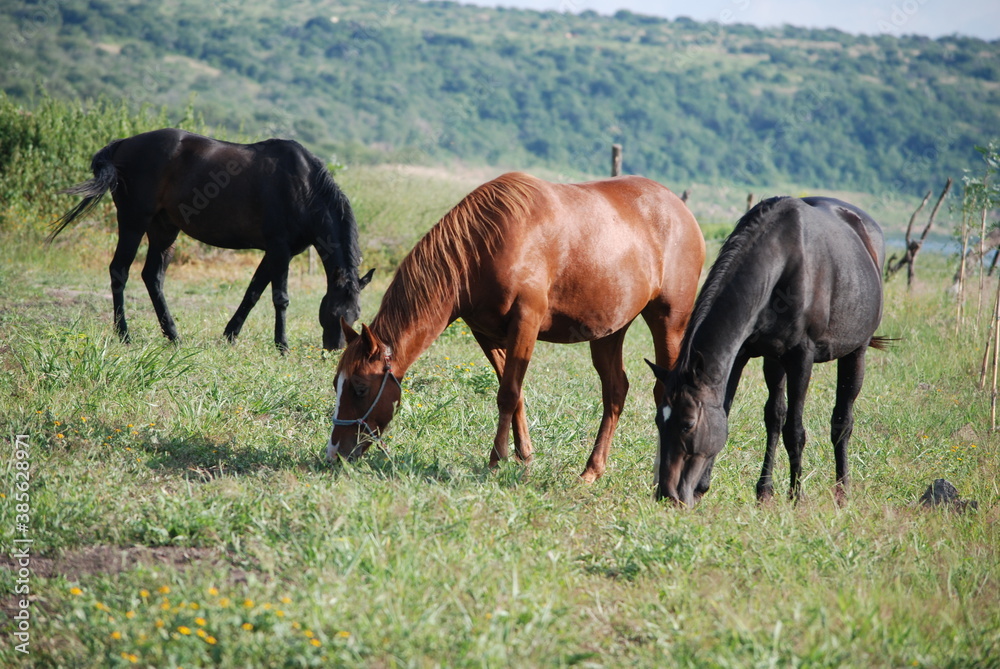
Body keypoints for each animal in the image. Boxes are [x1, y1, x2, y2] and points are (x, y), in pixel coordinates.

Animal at [50, 127, 372, 352]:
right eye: (336, 313)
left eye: (356, 315)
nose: (335, 349)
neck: (304, 187)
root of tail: (122, 144)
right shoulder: (280, 250)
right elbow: (280, 298)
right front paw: (282, 346)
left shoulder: (276, 253)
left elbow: (252, 293)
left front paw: (230, 334)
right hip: (133, 222)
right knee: (119, 271)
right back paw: (125, 334)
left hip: (164, 230)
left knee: (152, 276)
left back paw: (173, 335)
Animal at [326, 170, 704, 478]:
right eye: (336, 384)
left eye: (360, 387)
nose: (334, 453)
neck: (483, 245)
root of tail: (682, 211)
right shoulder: (487, 333)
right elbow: (515, 393)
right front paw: (525, 456)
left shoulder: (526, 322)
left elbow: (507, 394)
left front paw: (496, 461)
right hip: (609, 332)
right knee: (615, 391)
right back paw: (591, 471)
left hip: (669, 322)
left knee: (664, 391)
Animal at [644, 197, 888, 506]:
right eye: (658, 421)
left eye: (687, 423)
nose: (667, 495)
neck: (782, 260)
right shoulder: (742, 354)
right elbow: (732, 412)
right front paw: (704, 488)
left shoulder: (801, 358)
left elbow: (795, 431)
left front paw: (796, 496)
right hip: (775, 361)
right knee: (775, 417)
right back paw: (765, 490)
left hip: (855, 353)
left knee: (841, 423)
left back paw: (842, 492)